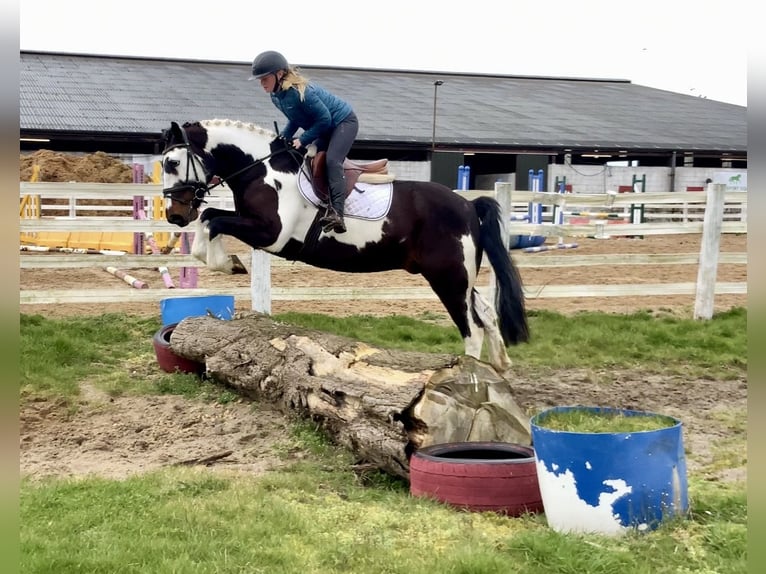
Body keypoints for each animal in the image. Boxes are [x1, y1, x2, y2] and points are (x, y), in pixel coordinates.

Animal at [160, 119, 529, 374]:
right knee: (486, 313)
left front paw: (228, 263)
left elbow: (211, 221)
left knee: (473, 329)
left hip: (448, 279)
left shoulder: (270, 234)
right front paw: (230, 262)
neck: (261, 168)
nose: (174, 215)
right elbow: (209, 217)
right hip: (459, 278)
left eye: (172, 163)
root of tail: (468, 205)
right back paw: (500, 369)